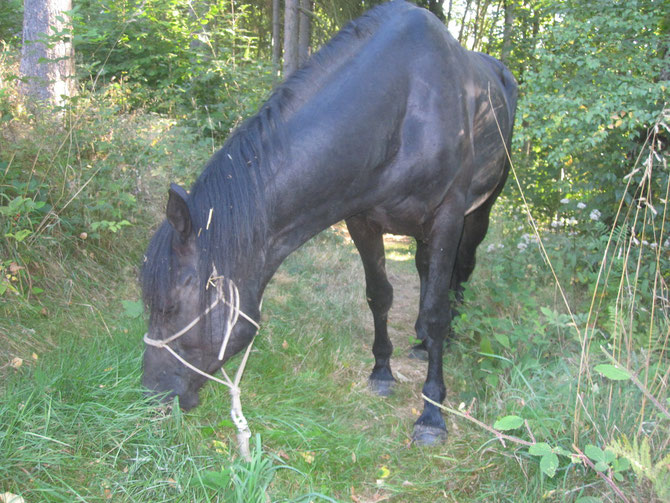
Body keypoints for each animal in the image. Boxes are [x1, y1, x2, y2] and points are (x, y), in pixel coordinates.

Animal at [142, 0, 520, 448]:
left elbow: (437, 313)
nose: (151, 394)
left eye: (169, 306)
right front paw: (382, 372)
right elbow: (380, 296)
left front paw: (431, 412)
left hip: (478, 212)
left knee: (459, 274)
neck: (403, 108)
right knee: (426, 272)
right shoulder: (361, 219)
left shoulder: (447, 216)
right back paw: (418, 342)